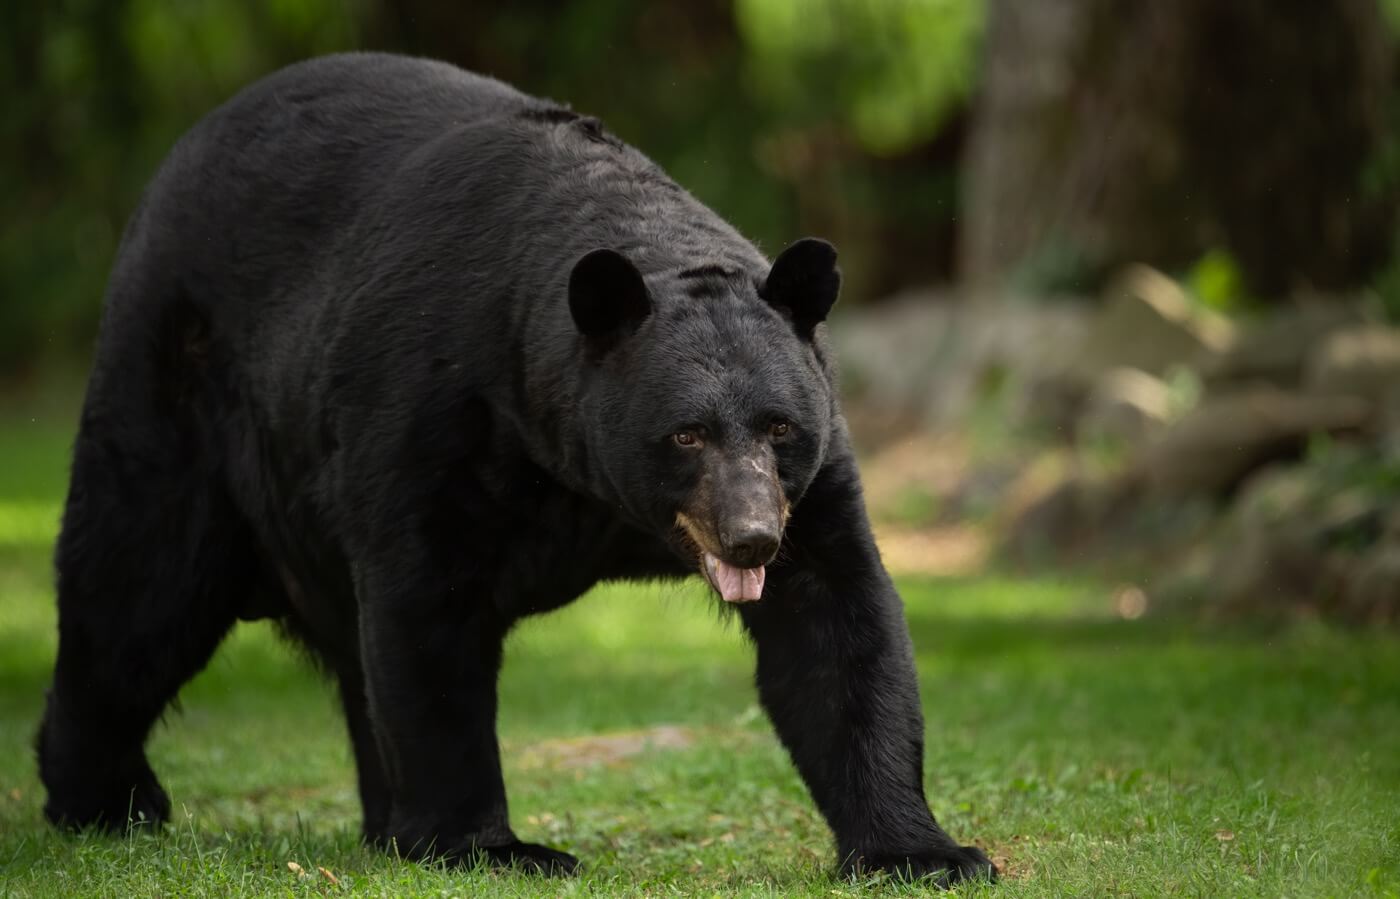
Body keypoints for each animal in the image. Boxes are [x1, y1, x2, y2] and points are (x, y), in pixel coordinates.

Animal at [35, 50, 996, 884]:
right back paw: (108, 797)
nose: (752, 537)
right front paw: (493, 844)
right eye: (686, 434)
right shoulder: (434, 416)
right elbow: (428, 616)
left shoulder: (819, 479)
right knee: (138, 587)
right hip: (180, 395)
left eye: (780, 426)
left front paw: (925, 851)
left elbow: (837, 622)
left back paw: (380, 822)